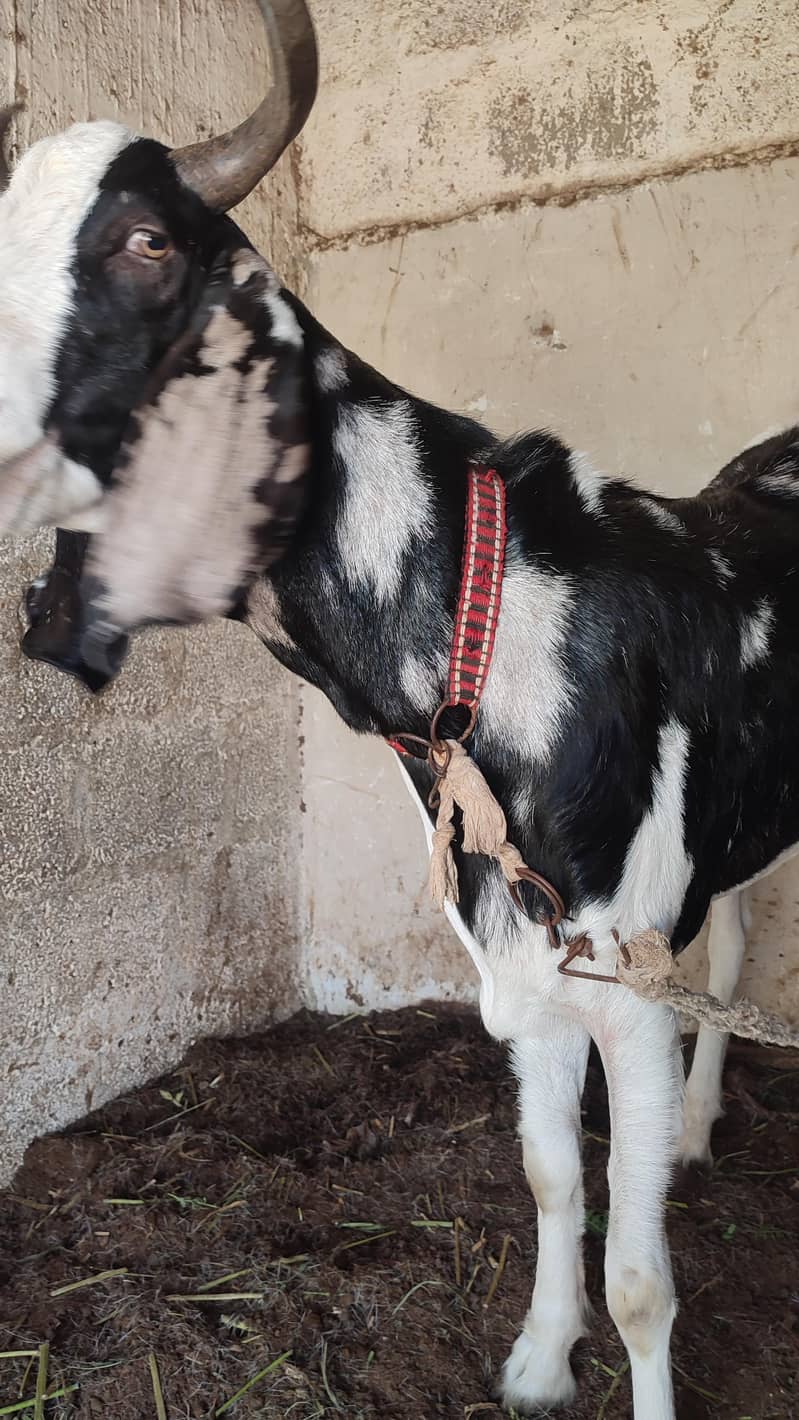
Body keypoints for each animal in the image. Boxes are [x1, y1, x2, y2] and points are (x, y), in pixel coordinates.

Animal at [0, 6, 796, 1415]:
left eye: (147, 242)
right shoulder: (527, 962)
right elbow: (550, 1173)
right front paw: (537, 1357)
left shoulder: (622, 981)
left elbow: (644, 1282)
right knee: (742, 933)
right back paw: (705, 1126)